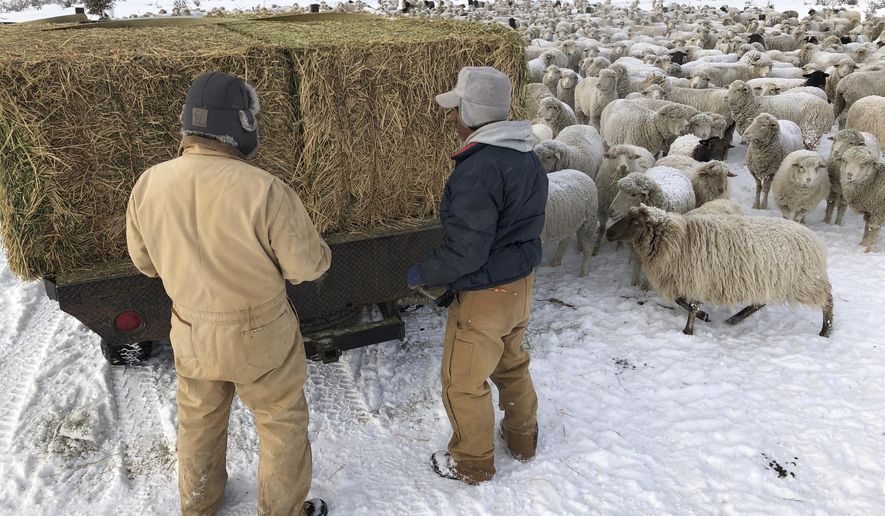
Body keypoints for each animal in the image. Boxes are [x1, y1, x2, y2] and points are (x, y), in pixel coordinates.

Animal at [605, 204, 833, 337]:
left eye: (634, 221)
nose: (608, 233)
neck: (677, 239)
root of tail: (814, 241)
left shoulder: (697, 277)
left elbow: (691, 306)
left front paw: (688, 331)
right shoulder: (689, 279)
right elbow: (682, 301)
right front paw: (704, 316)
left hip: (805, 281)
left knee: (828, 299)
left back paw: (826, 330)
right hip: (770, 280)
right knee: (759, 303)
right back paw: (734, 319)